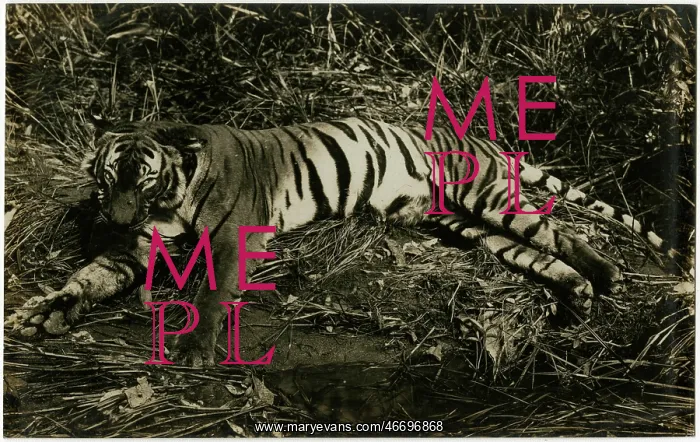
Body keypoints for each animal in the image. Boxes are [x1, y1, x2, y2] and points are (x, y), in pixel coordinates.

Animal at [5, 117, 676, 366]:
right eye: (104, 176)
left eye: (140, 176)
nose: (115, 214)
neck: (168, 198)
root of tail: (478, 138)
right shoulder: (132, 251)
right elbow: (85, 279)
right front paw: (44, 314)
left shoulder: (231, 239)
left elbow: (213, 295)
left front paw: (194, 348)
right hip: (466, 225)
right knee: (537, 251)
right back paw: (577, 296)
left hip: (484, 196)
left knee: (561, 229)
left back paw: (606, 278)